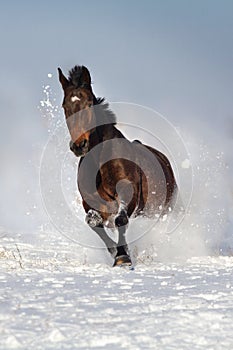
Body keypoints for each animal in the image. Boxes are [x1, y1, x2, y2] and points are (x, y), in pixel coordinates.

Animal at [57, 65, 177, 266]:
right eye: (65, 106)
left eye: (89, 104)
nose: (79, 145)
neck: (101, 163)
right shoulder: (90, 202)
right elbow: (94, 222)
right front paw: (116, 251)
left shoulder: (129, 193)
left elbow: (120, 220)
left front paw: (122, 257)